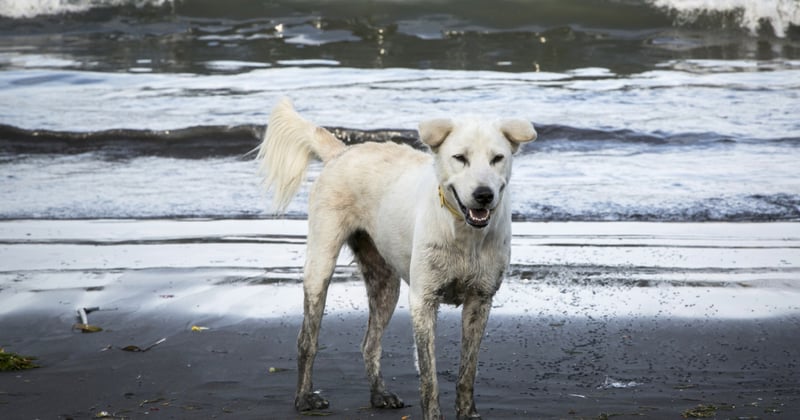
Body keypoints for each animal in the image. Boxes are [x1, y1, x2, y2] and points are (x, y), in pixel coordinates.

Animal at [258, 97, 536, 418]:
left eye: (497, 158)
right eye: (460, 158)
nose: (483, 194)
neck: (464, 233)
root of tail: (342, 151)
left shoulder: (480, 300)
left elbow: (468, 371)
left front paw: (467, 412)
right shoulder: (423, 301)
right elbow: (429, 377)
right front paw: (433, 414)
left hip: (385, 285)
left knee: (369, 343)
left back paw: (379, 394)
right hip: (320, 264)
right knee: (307, 339)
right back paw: (304, 398)